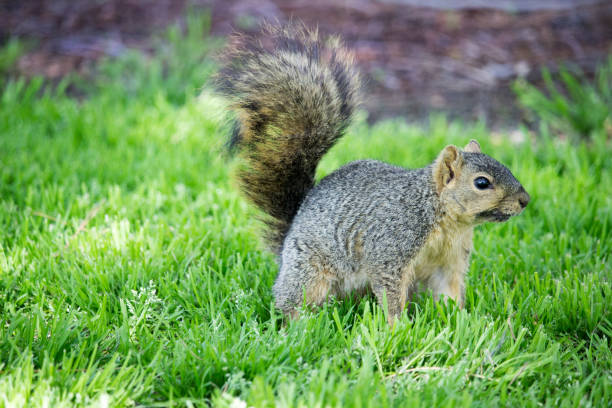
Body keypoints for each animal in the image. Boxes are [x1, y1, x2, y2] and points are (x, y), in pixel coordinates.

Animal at [215, 24, 532, 326]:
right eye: (482, 182)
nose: (525, 200)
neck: (445, 221)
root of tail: (287, 241)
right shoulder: (390, 248)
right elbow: (391, 294)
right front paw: (397, 328)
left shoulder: (449, 260)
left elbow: (449, 293)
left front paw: (463, 322)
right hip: (310, 273)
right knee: (294, 303)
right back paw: (300, 326)